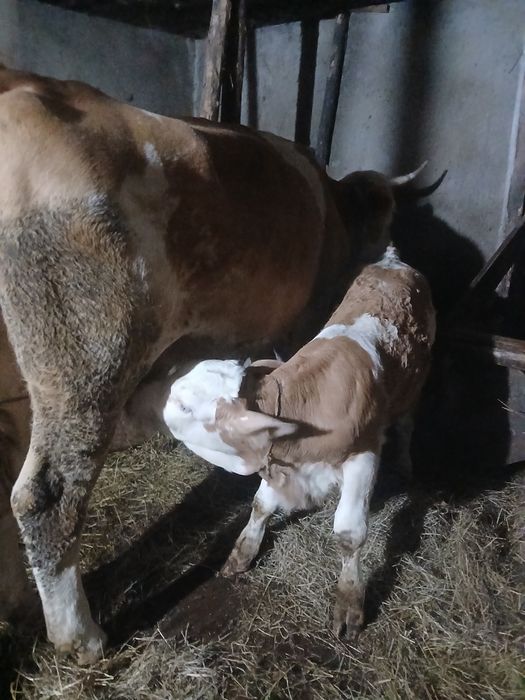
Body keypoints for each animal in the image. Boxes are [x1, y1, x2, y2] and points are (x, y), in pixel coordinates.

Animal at [163, 245, 436, 639]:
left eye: (185, 406)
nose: (163, 399)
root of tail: (392, 261)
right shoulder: (279, 460)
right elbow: (261, 505)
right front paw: (242, 553)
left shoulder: (363, 457)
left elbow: (349, 532)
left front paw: (349, 604)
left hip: (415, 385)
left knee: (407, 425)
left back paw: (404, 463)